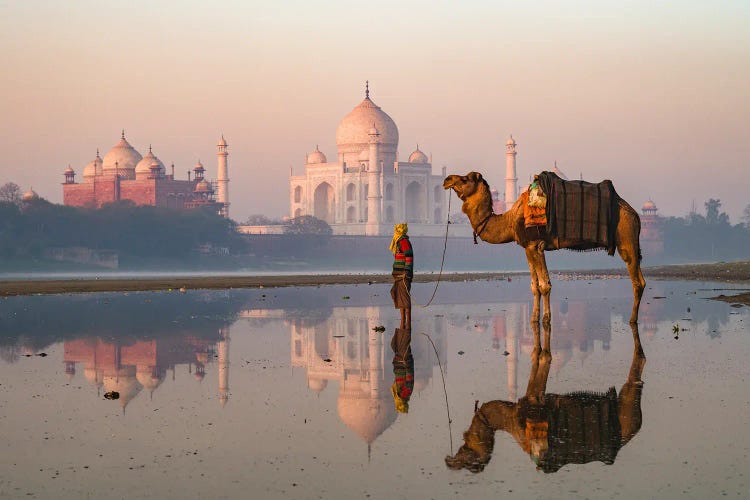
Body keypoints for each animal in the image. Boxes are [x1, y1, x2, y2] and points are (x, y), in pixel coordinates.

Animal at [446, 173, 648, 324]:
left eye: (465, 179)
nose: (447, 179)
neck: (510, 220)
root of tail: (634, 213)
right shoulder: (527, 248)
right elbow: (534, 286)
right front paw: (534, 319)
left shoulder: (536, 245)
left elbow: (545, 285)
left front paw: (546, 319)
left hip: (626, 236)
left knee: (638, 280)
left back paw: (632, 320)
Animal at [446, 320, 648, 472]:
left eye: (469, 465)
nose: (449, 462)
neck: (511, 420)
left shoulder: (535, 403)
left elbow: (544, 360)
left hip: (628, 410)